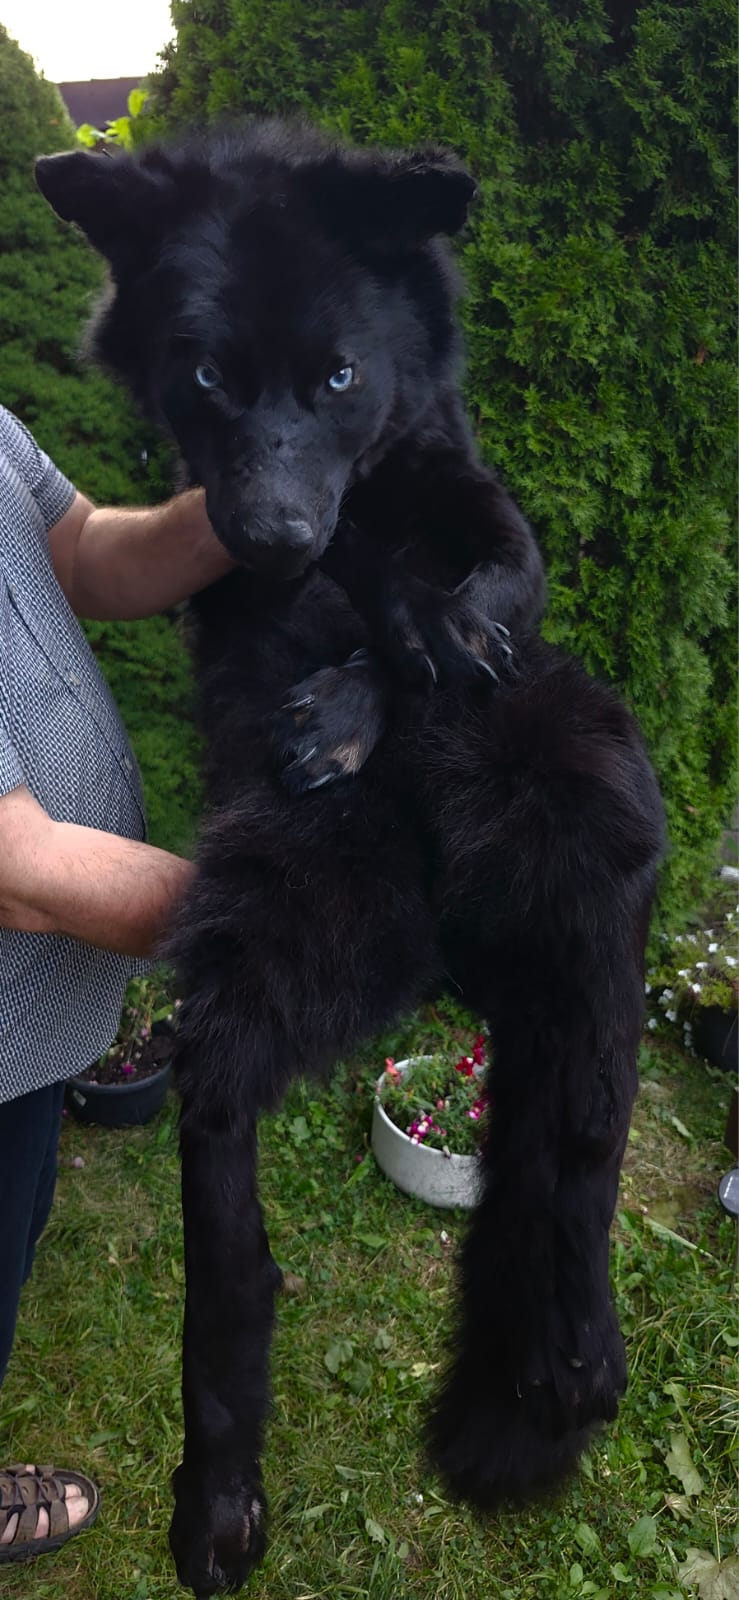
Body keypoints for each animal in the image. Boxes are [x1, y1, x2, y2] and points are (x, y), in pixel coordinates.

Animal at [37, 120, 664, 1596]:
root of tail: (445, 926)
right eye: (206, 371)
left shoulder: (491, 528)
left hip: (583, 803)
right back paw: (221, 1488)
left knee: (584, 1118)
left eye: (340, 375)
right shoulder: (222, 537)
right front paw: (365, 651)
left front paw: (390, 662)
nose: (273, 531)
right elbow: (365, 576)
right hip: (281, 919)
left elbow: (473, 589)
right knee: (221, 1177)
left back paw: (569, 1353)